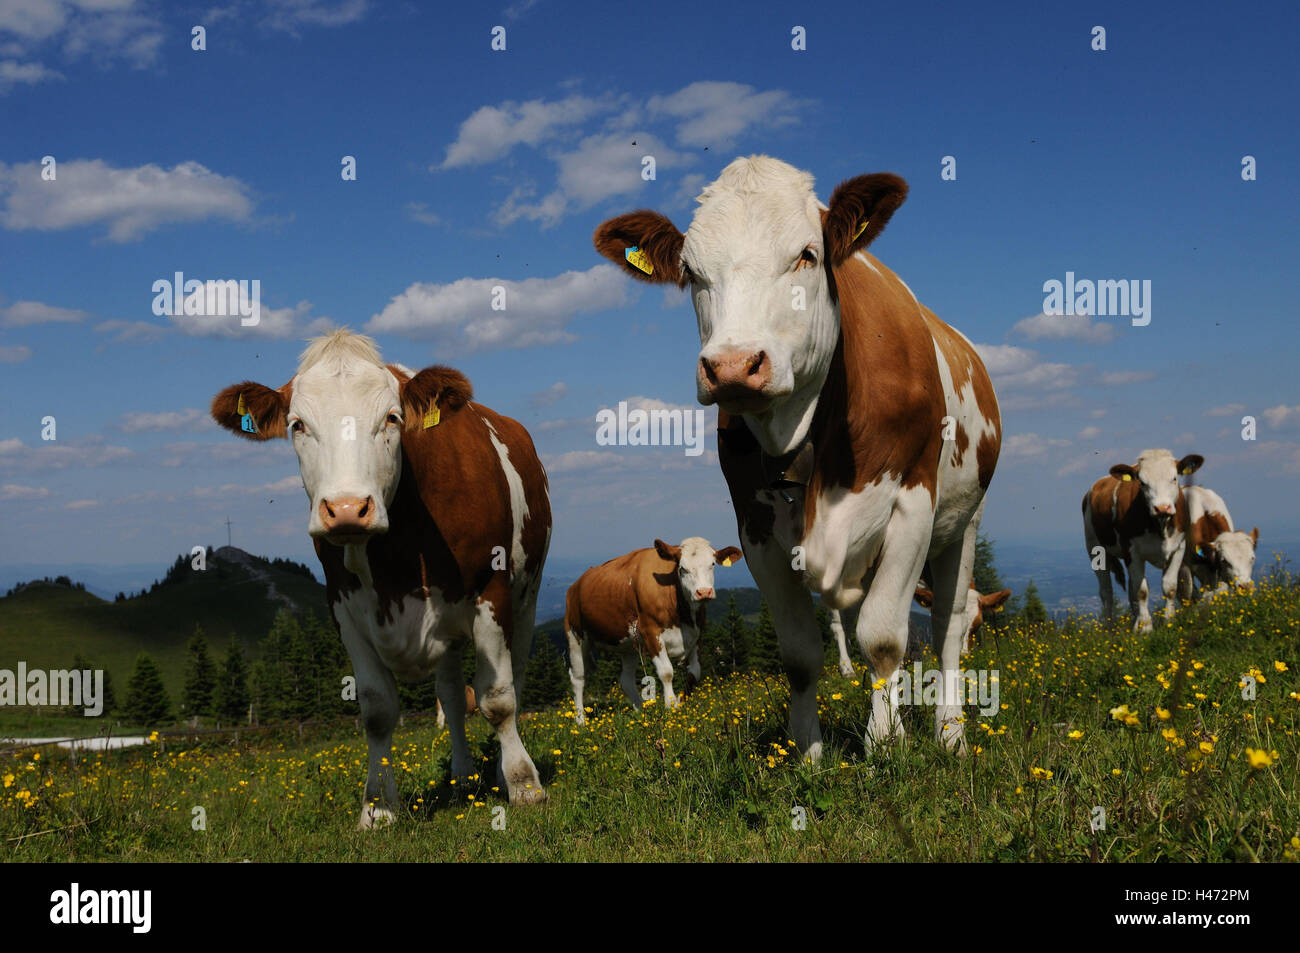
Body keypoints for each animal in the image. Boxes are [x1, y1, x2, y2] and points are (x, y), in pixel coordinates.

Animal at [206, 330, 548, 821]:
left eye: (392, 418)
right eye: (297, 425)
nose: (347, 508)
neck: (397, 562)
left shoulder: (492, 589)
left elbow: (498, 699)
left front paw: (523, 785)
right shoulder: (344, 608)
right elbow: (378, 710)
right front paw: (378, 807)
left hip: (527, 596)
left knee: (512, 676)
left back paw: (502, 774)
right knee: (450, 696)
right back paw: (462, 778)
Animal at [566, 535, 743, 722]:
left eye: (713, 564)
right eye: (682, 569)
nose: (703, 592)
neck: (682, 616)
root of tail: (575, 586)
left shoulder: (697, 634)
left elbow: (695, 672)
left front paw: (679, 703)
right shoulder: (650, 632)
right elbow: (666, 672)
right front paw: (670, 707)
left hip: (628, 645)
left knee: (626, 679)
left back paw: (640, 712)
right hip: (575, 635)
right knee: (578, 678)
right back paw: (580, 720)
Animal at [595, 156, 998, 754]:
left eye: (808, 254)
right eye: (690, 271)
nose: (732, 366)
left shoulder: (912, 505)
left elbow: (883, 636)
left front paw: (885, 744)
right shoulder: (755, 530)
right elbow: (801, 654)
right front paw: (808, 751)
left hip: (963, 522)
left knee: (947, 626)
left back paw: (950, 734)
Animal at [1081, 447, 1201, 631]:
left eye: (1174, 478)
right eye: (1142, 483)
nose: (1162, 507)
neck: (1160, 527)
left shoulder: (1179, 547)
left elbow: (1170, 587)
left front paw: (1169, 621)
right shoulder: (1133, 552)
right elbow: (1142, 591)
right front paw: (1146, 627)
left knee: (1130, 591)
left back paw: (1134, 623)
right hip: (1094, 548)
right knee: (1106, 591)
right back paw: (1110, 628)